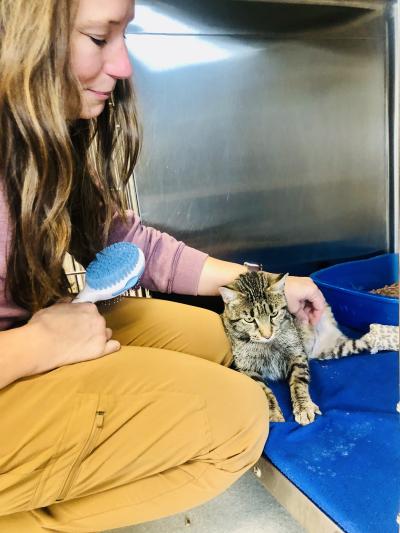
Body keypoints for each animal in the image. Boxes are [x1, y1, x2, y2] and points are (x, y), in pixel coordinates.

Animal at [220, 270, 398, 424]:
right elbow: (263, 390)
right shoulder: (246, 369)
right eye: (249, 320)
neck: (268, 344)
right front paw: (272, 411)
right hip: (336, 348)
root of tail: (333, 331)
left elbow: (298, 382)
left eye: (274, 314)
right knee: (368, 339)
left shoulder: (298, 354)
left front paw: (303, 407)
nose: (267, 335)